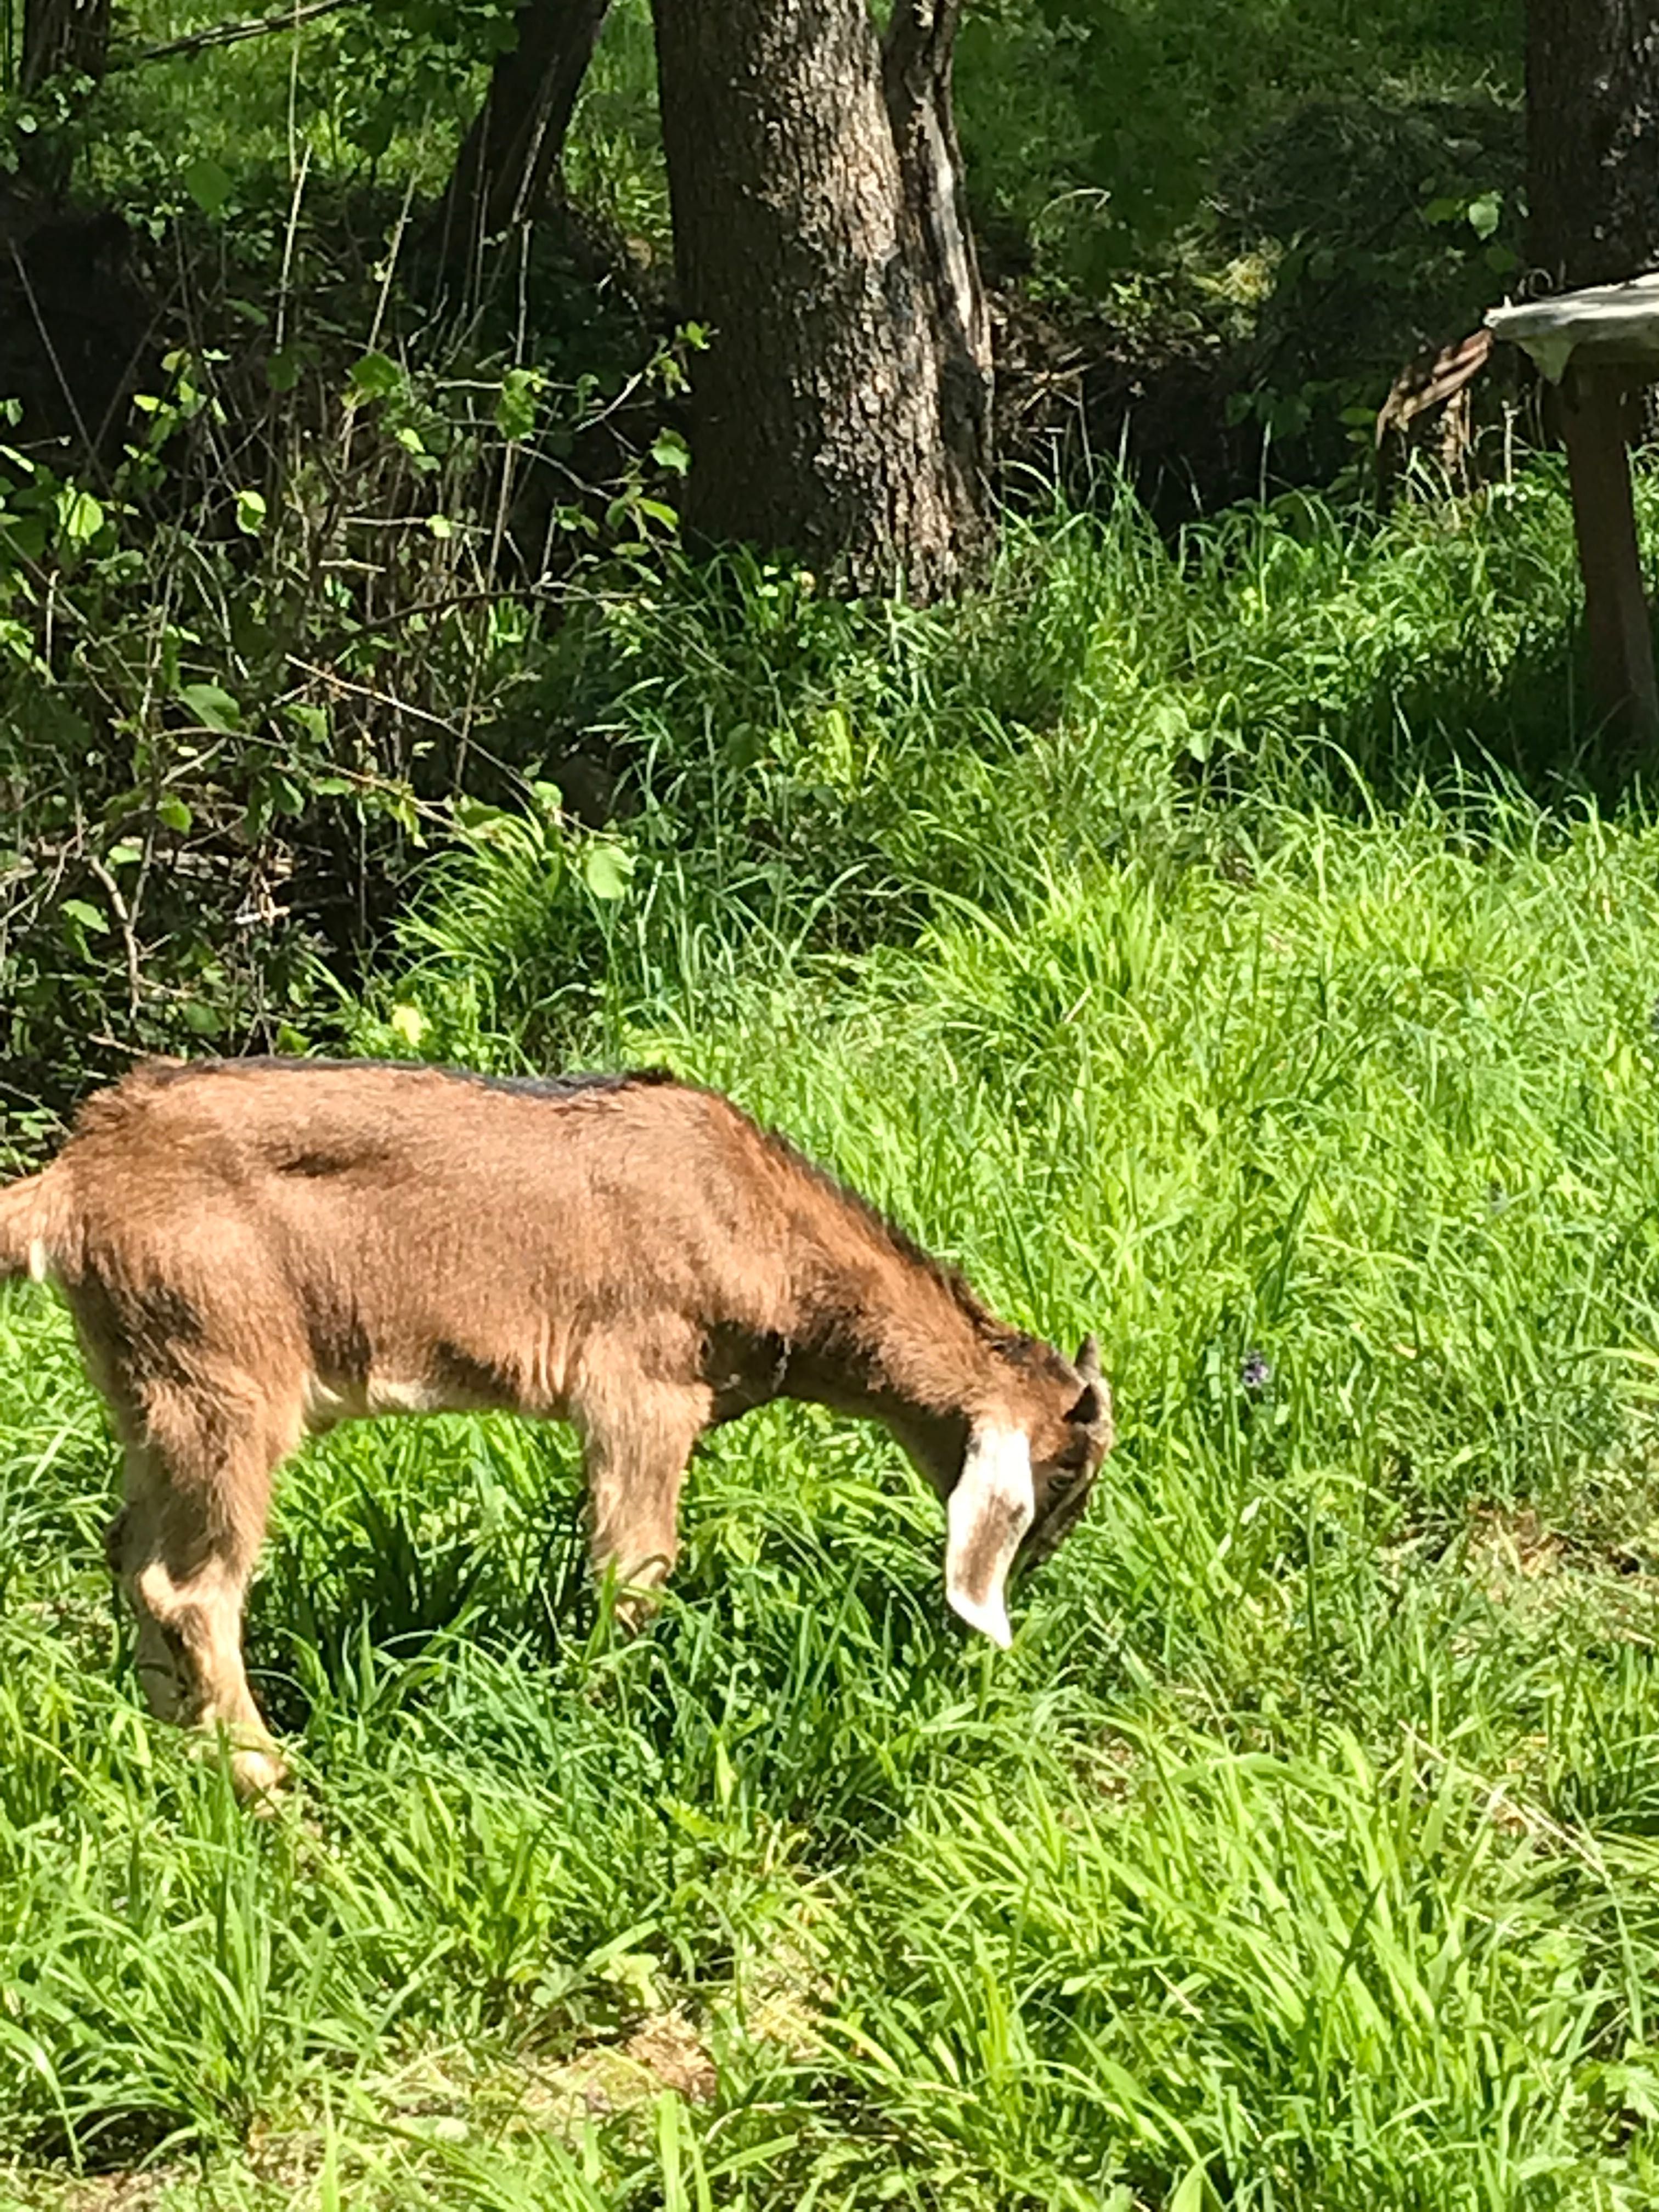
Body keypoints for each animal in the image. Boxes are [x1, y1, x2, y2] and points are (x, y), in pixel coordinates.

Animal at [3, 1053, 1119, 1796]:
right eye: (1059, 1477)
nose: (1034, 1579)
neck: (764, 1228)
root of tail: (71, 1182)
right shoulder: (641, 1383)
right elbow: (636, 1562)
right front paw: (602, 1720)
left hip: (148, 1387)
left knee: (130, 1555)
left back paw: (171, 1747)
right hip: (222, 1378)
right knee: (192, 1589)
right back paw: (270, 1786)